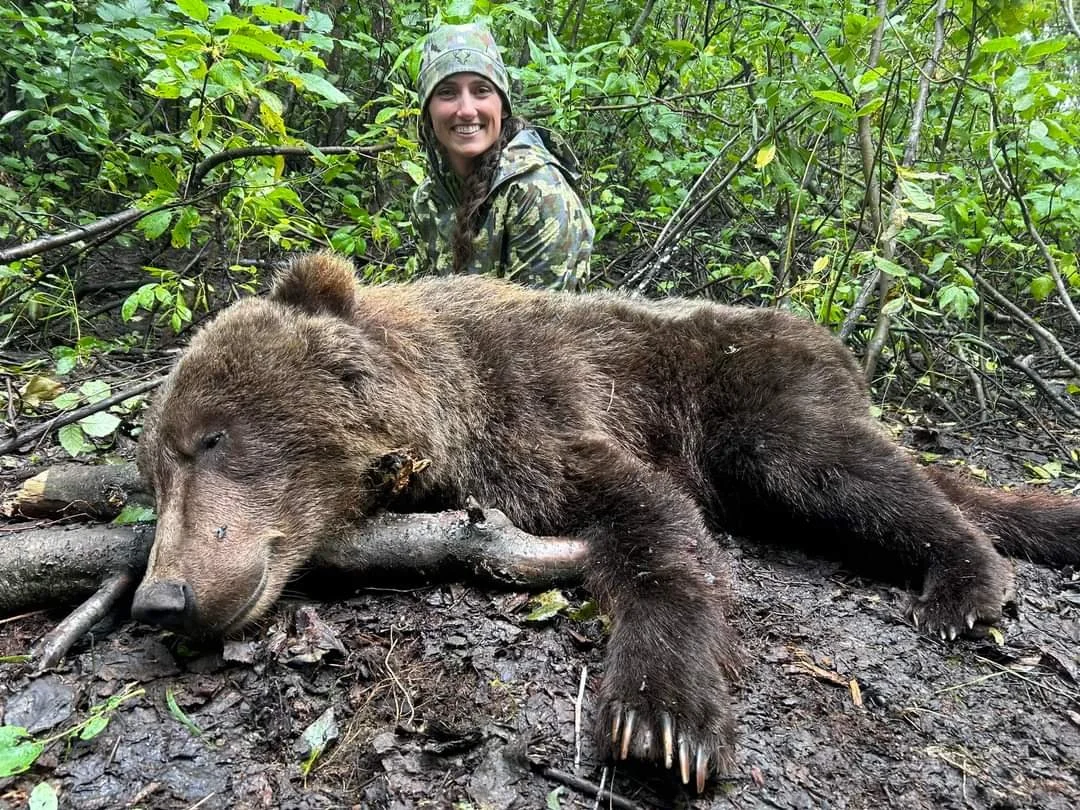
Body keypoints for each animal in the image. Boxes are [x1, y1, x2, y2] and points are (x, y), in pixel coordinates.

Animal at [133, 252, 1080, 792]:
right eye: (155, 470)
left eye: (211, 438)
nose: (162, 598)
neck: (440, 402)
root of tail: (831, 346)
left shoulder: (536, 417)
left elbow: (655, 528)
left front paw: (662, 720)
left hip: (757, 397)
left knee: (846, 471)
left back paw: (965, 587)